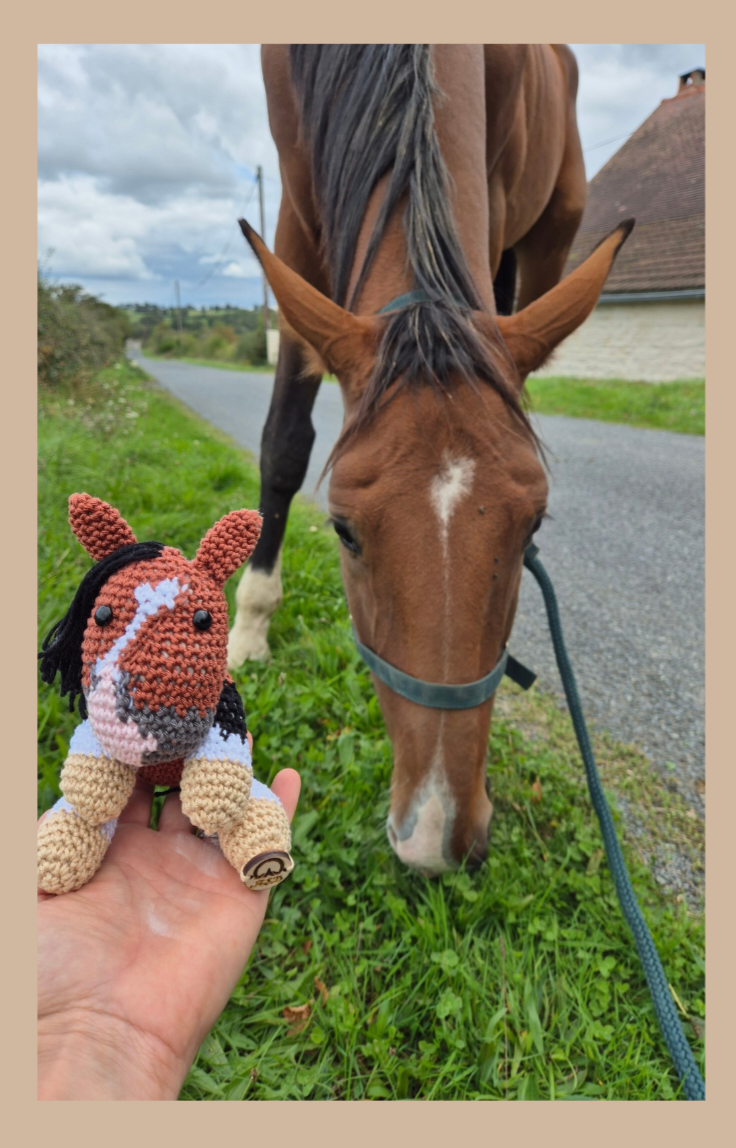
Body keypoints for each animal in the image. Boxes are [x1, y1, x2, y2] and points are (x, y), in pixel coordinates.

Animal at [227, 45, 633, 875]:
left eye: (533, 523)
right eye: (344, 530)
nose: (434, 840)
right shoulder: (297, 213)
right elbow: (284, 445)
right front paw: (248, 628)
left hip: (546, 241)